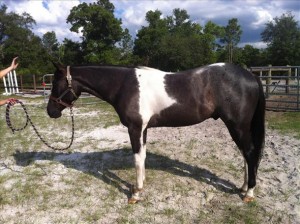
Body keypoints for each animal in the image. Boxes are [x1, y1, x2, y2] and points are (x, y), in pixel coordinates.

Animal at [47, 62, 264, 204]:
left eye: (56, 84)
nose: (51, 111)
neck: (124, 85)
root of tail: (250, 75)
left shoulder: (134, 128)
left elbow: (136, 158)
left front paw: (135, 194)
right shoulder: (143, 129)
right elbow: (142, 156)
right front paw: (141, 184)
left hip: (237, 126)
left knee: (250, 153)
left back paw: (249, 193)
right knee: (245, 154)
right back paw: (244, 187)